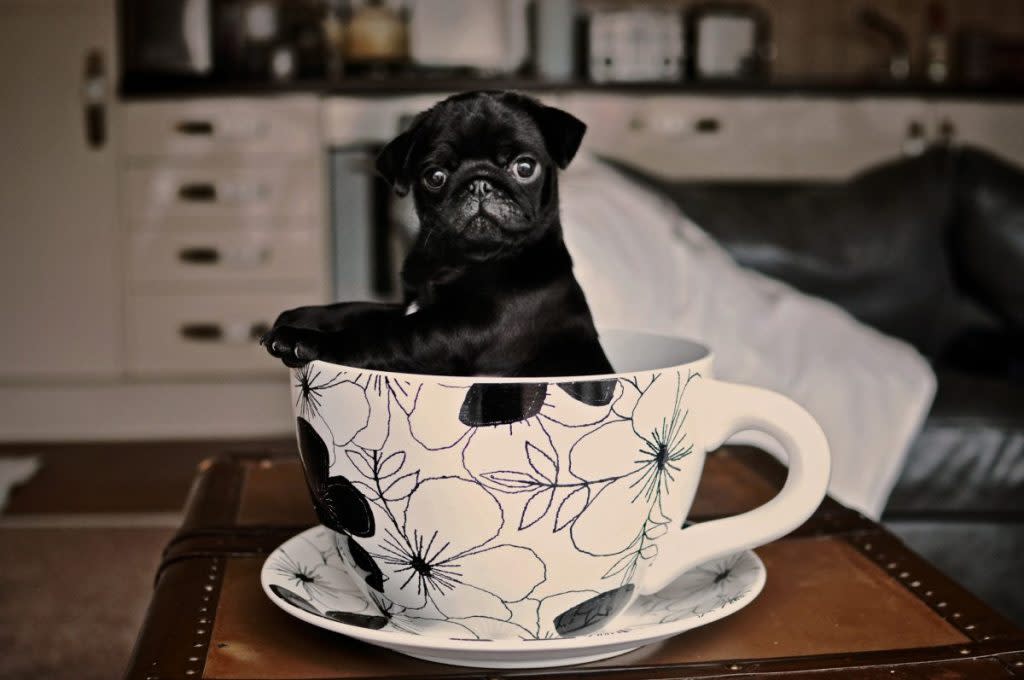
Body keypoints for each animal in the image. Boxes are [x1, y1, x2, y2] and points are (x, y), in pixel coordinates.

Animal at [264, 89, 610, 376]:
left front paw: (305, 339)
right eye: (435, 176)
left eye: (524, 168)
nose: (479, 183)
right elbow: (358, 309)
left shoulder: (453, 330)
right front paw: (302, 316)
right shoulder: (411, 306)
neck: (461, 261)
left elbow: (378, 336)